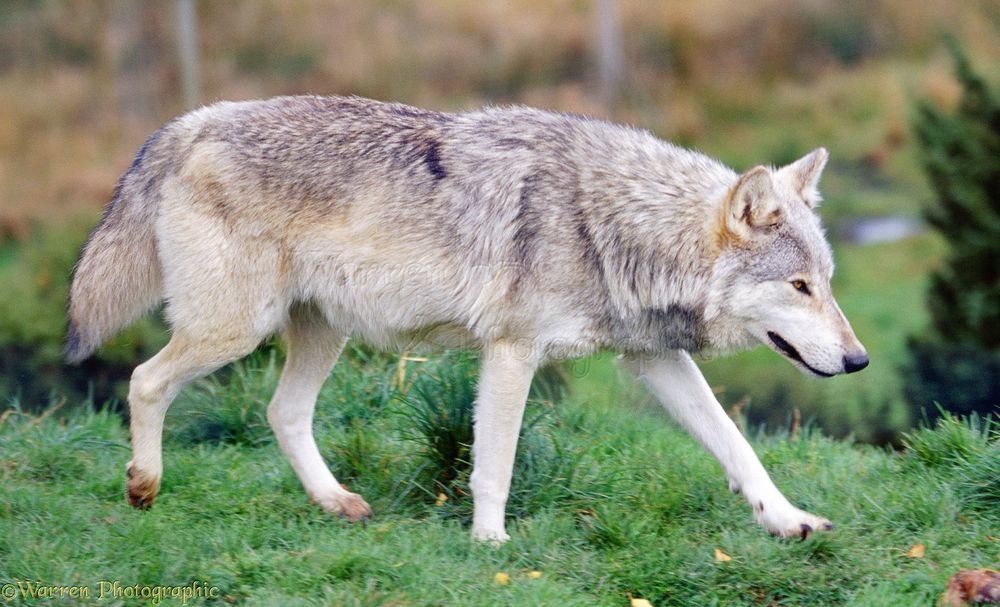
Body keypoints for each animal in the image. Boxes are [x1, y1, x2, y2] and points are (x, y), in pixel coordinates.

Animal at [67, 95, 868, 542]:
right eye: (798, 285)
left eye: (826, 284)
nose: (859, 361)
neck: (607, 222)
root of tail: (189, 123)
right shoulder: (512, 352)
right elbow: (494, 465)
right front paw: (491, 545)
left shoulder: (653, 357)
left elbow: (737, 446)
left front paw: (788, 520)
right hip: (235, 329)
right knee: (143, 380)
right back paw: (143, 486)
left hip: (320, 332)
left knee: (281, 412)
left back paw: (336, 503)